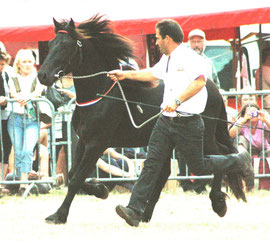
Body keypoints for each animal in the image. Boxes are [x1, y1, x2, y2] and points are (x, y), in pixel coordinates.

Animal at [37, 15, 247, 224]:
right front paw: (100, 189)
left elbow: (76, 179)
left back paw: (219, 200)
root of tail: (212, 86)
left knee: (220, 154)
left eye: (66, 45)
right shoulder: (83, 140)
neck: (100, 95)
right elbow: (72, 174)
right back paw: (143, 214)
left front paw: (58, 215)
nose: (42, 75)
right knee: (165, 172)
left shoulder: (97, 143)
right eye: (50, 43)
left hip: (203, 137)